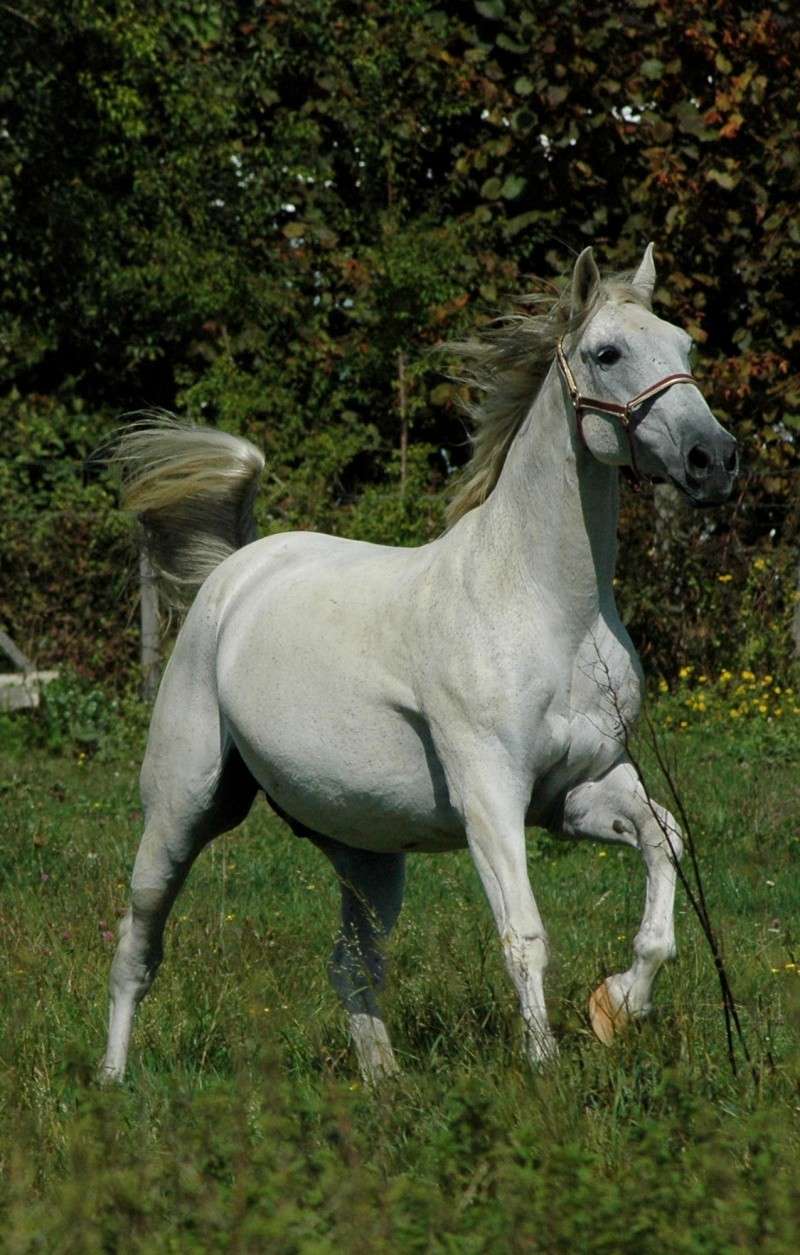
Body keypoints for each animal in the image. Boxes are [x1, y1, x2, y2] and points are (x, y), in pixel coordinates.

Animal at [101, 244, 738, 1079]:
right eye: (607, 353)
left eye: (686, 346)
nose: (714, 459)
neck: (545, 607)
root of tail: (233, 574)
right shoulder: (490, 795)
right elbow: (524, 933)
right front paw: (545, 1070)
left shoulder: (584, 787)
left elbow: (665, 848)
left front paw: (617, 1004)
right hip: (181, 806)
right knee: (137, 944)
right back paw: (113, 1079)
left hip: (365, 849)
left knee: (351, 961)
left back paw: (385, 1083)